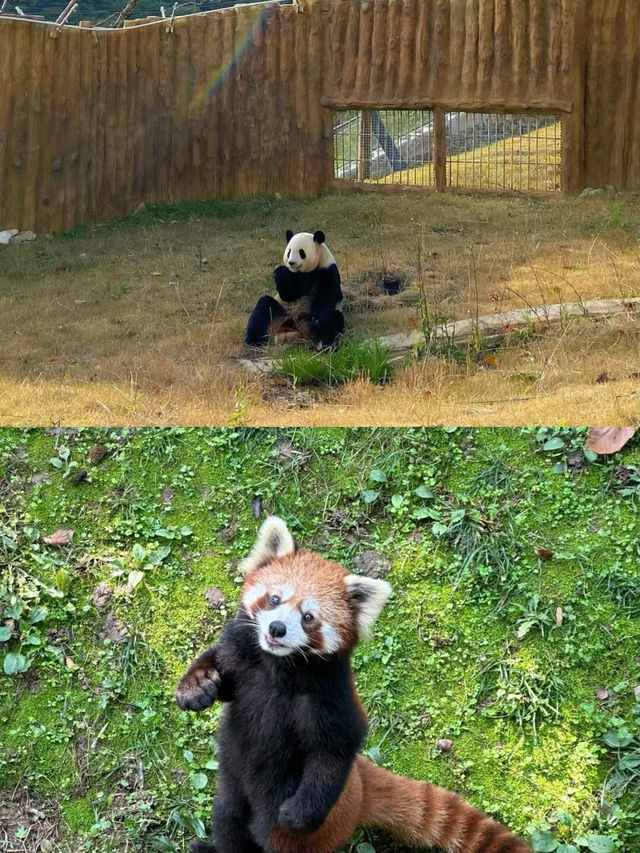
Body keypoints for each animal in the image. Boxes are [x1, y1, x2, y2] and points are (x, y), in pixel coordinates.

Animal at [175, 516, 528, 852]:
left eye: (308, 617)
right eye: (274, 599)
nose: (276, 628)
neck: (277, 669)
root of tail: (360, 787)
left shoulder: (331, 700)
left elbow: (333, 753)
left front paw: (298, 814)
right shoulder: (243, 660)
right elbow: (217, 666)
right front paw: (196, 687)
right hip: (231, 795)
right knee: (228, 823)